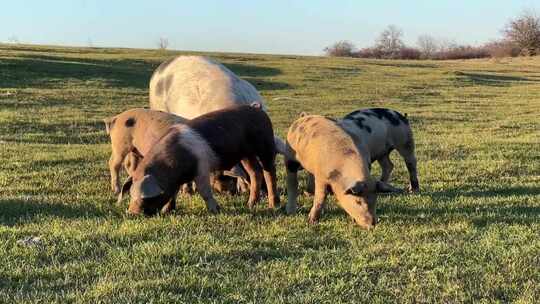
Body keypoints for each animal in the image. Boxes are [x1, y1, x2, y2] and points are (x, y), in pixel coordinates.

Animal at [117, 104, 278, 216]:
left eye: (145, 198)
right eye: (131, 195)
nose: (131, 213)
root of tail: (258, 110)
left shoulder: (201, 168)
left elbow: (204, 191)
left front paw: (216, 211)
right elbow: (173, 194)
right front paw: (166, 211)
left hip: (266, 146)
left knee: (270, 172)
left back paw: (273, 206)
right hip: (246, 155)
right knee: (255, 172)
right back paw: (250, 205)